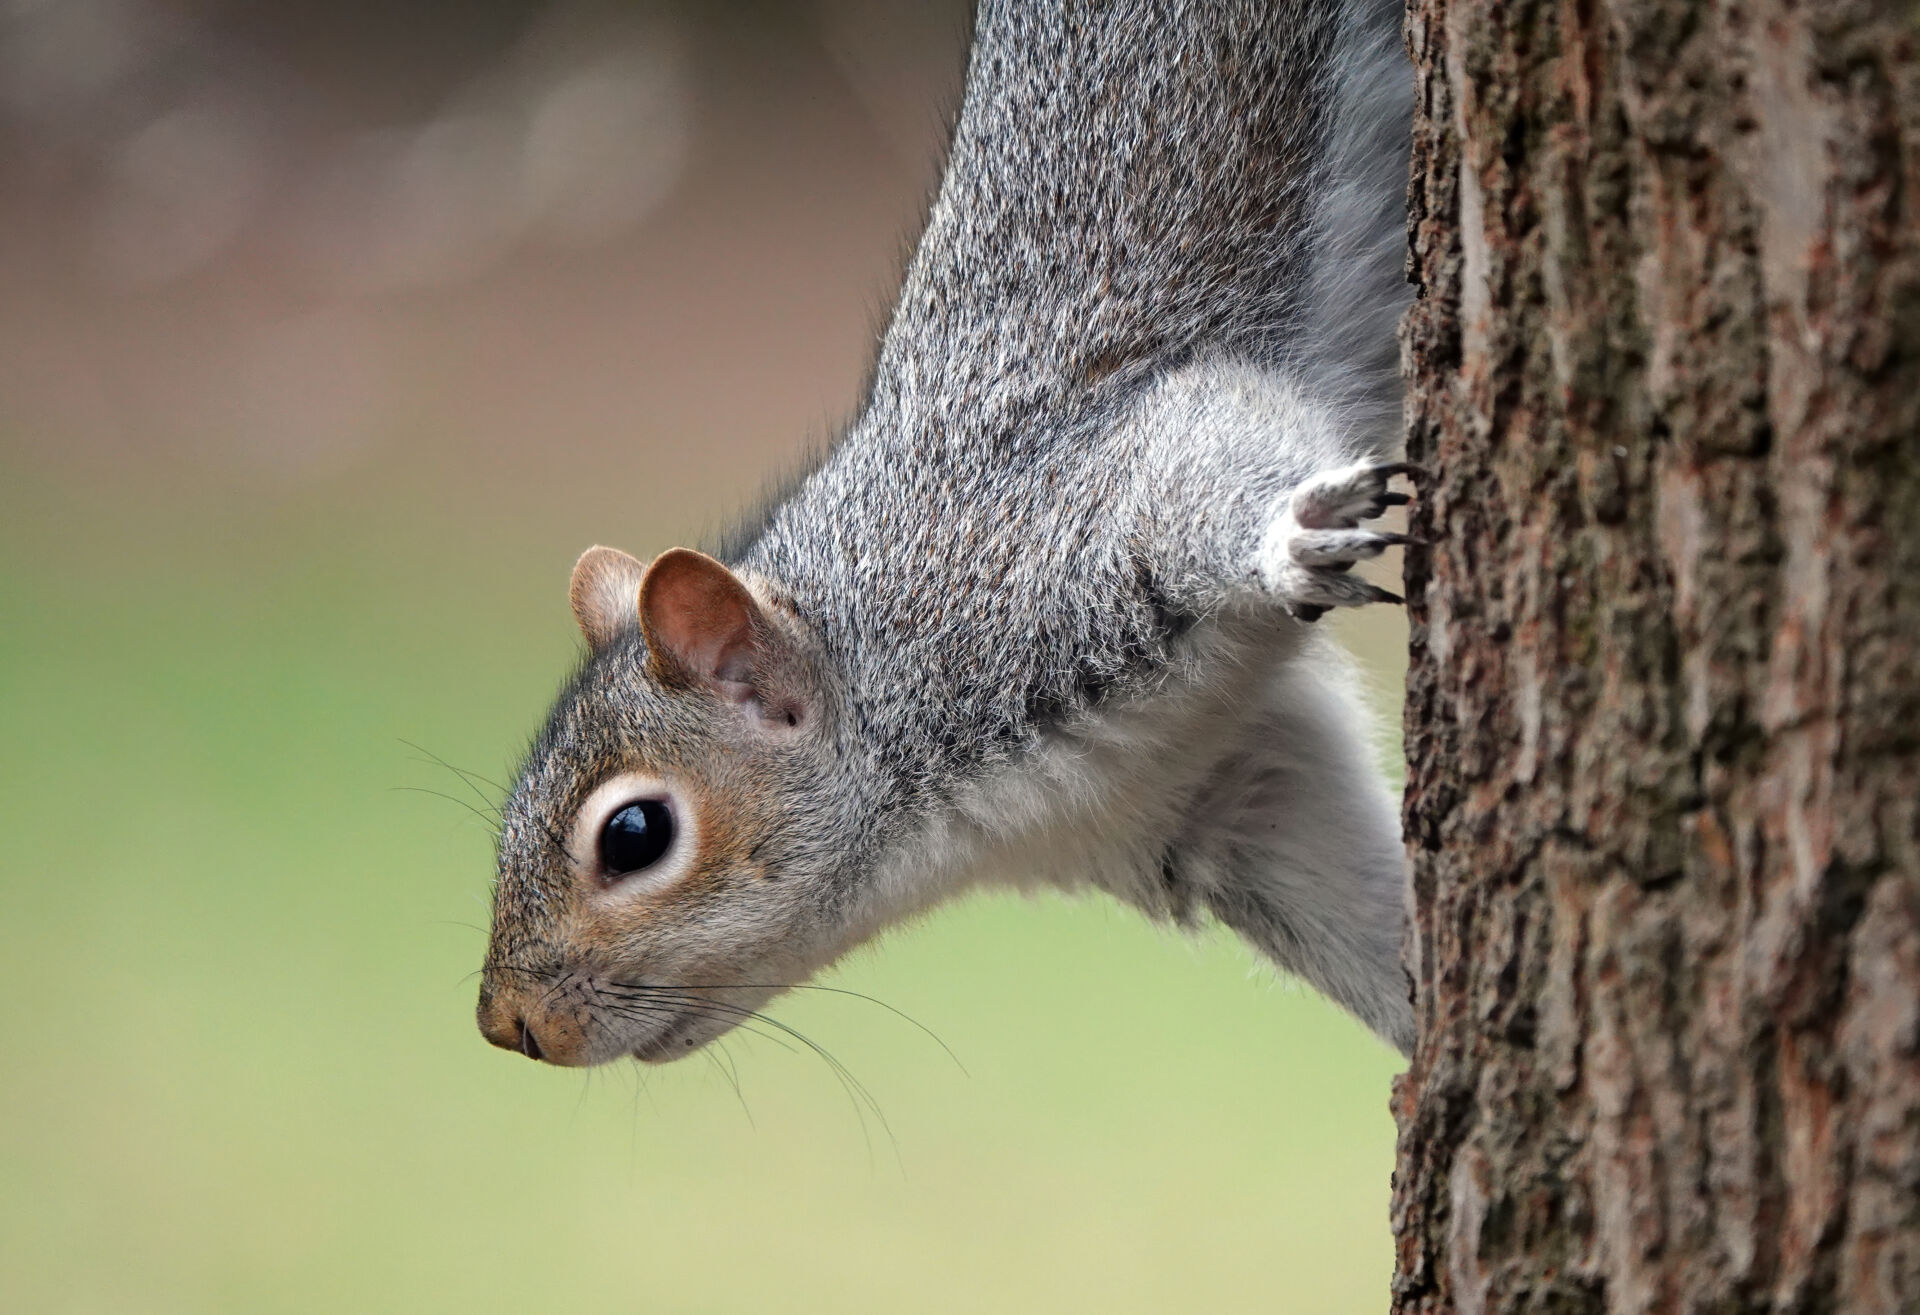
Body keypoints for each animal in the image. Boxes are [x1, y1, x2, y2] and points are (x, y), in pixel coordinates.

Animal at [478, 0, 1418, 1067]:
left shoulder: (1045, 541)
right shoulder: (1218, 788)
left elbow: (1207, 453)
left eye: (633, 834)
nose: (509, 1025)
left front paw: (1289, 540)